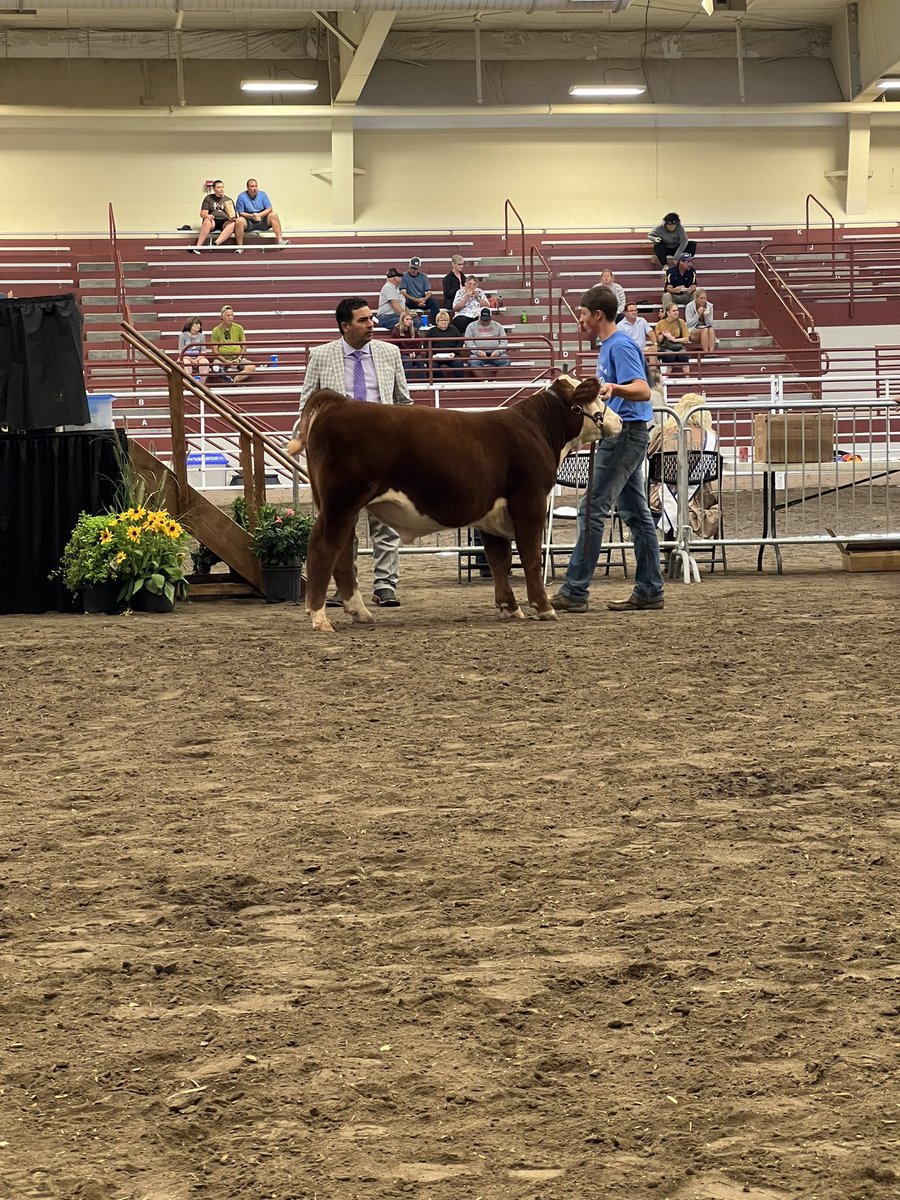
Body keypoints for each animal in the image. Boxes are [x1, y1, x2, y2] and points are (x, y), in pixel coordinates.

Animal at [289, 375, 622, 632]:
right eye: (595, 396)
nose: (619, 421)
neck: (536, 428)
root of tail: (340, 402)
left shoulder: (491, 513)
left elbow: (499, 559)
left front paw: (509, 607)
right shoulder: (530, 502)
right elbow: (530, 557)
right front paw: (543, 607)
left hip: (341, 505)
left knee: (344, 552)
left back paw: (360, 613)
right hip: (340, 502)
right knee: (323, 547)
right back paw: (319, 617)